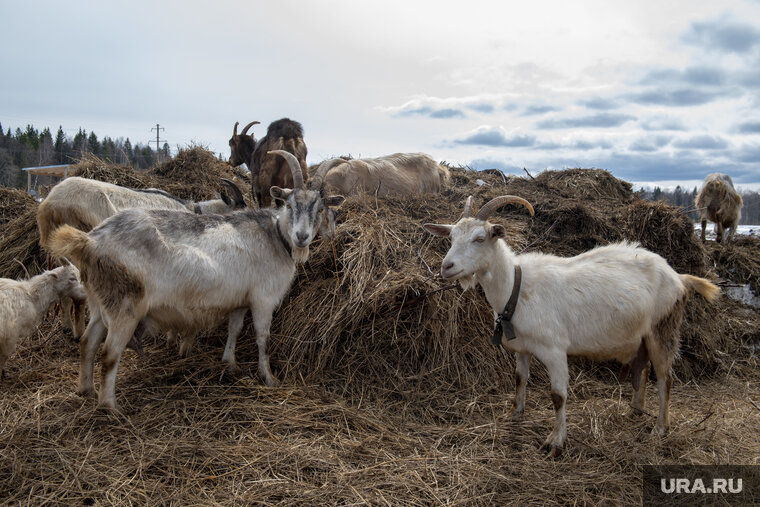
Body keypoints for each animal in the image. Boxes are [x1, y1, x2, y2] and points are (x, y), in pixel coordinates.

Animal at [424, 196, 720, 458]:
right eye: (451, 237)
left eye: (479, 238)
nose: (446, 267)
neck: (516, 287)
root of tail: (678, 276)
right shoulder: (522, 348)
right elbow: (520, 379)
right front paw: (514, 414)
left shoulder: (554, 351)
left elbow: (558, 396)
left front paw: (555, 442)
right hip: (642, 336)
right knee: (644, 369)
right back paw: (635, 409)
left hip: (663, 328)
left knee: (665, 378)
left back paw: (660, 428)